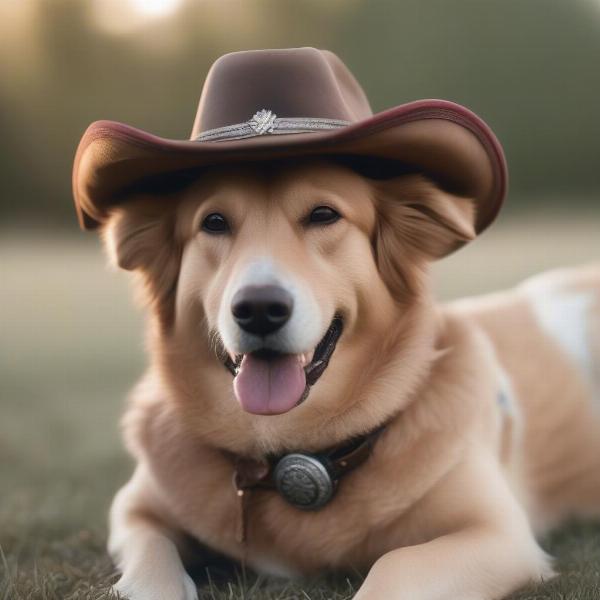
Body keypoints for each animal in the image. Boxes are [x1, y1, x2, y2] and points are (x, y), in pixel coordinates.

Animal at [95, 159, 600, 600]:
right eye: (214, 222)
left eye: (324, 214)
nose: (259, 309)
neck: (286, 450)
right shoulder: (133, 509)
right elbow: (148, 567)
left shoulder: (498, 535)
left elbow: (396, 564)